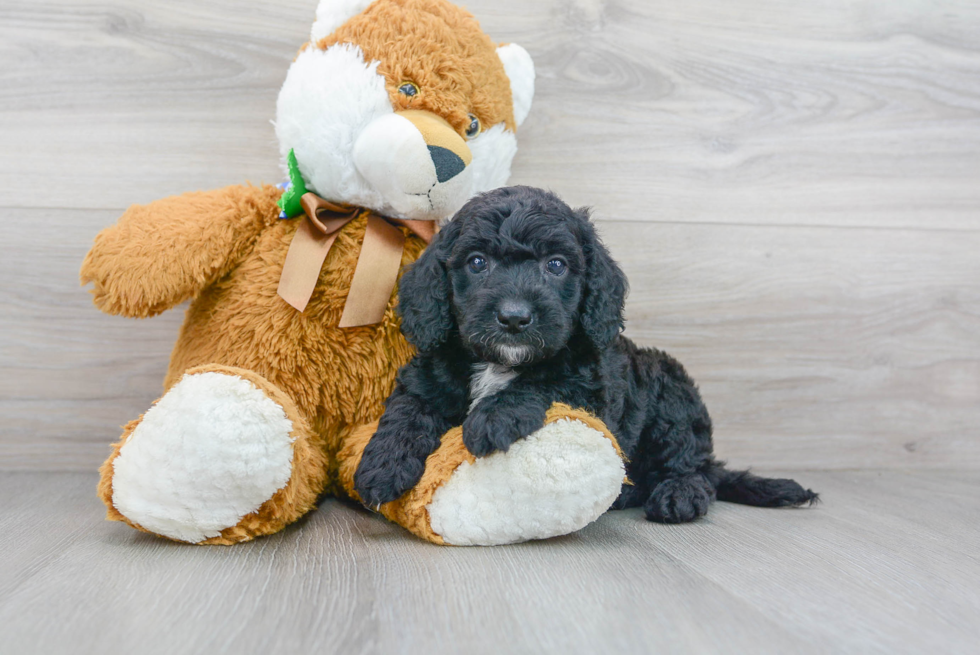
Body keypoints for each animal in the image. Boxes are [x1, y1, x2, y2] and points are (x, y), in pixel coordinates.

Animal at [356, 186, 816, 524]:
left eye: (557, 265)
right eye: (477, 262)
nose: (514, 317)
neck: (500, 360)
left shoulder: (591, 388)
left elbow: (544, 381)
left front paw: (494, 417)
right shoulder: (426, 377)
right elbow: (408, 410)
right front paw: (382, 465)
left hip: (673, 397)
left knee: (694, 466)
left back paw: (678, 494)